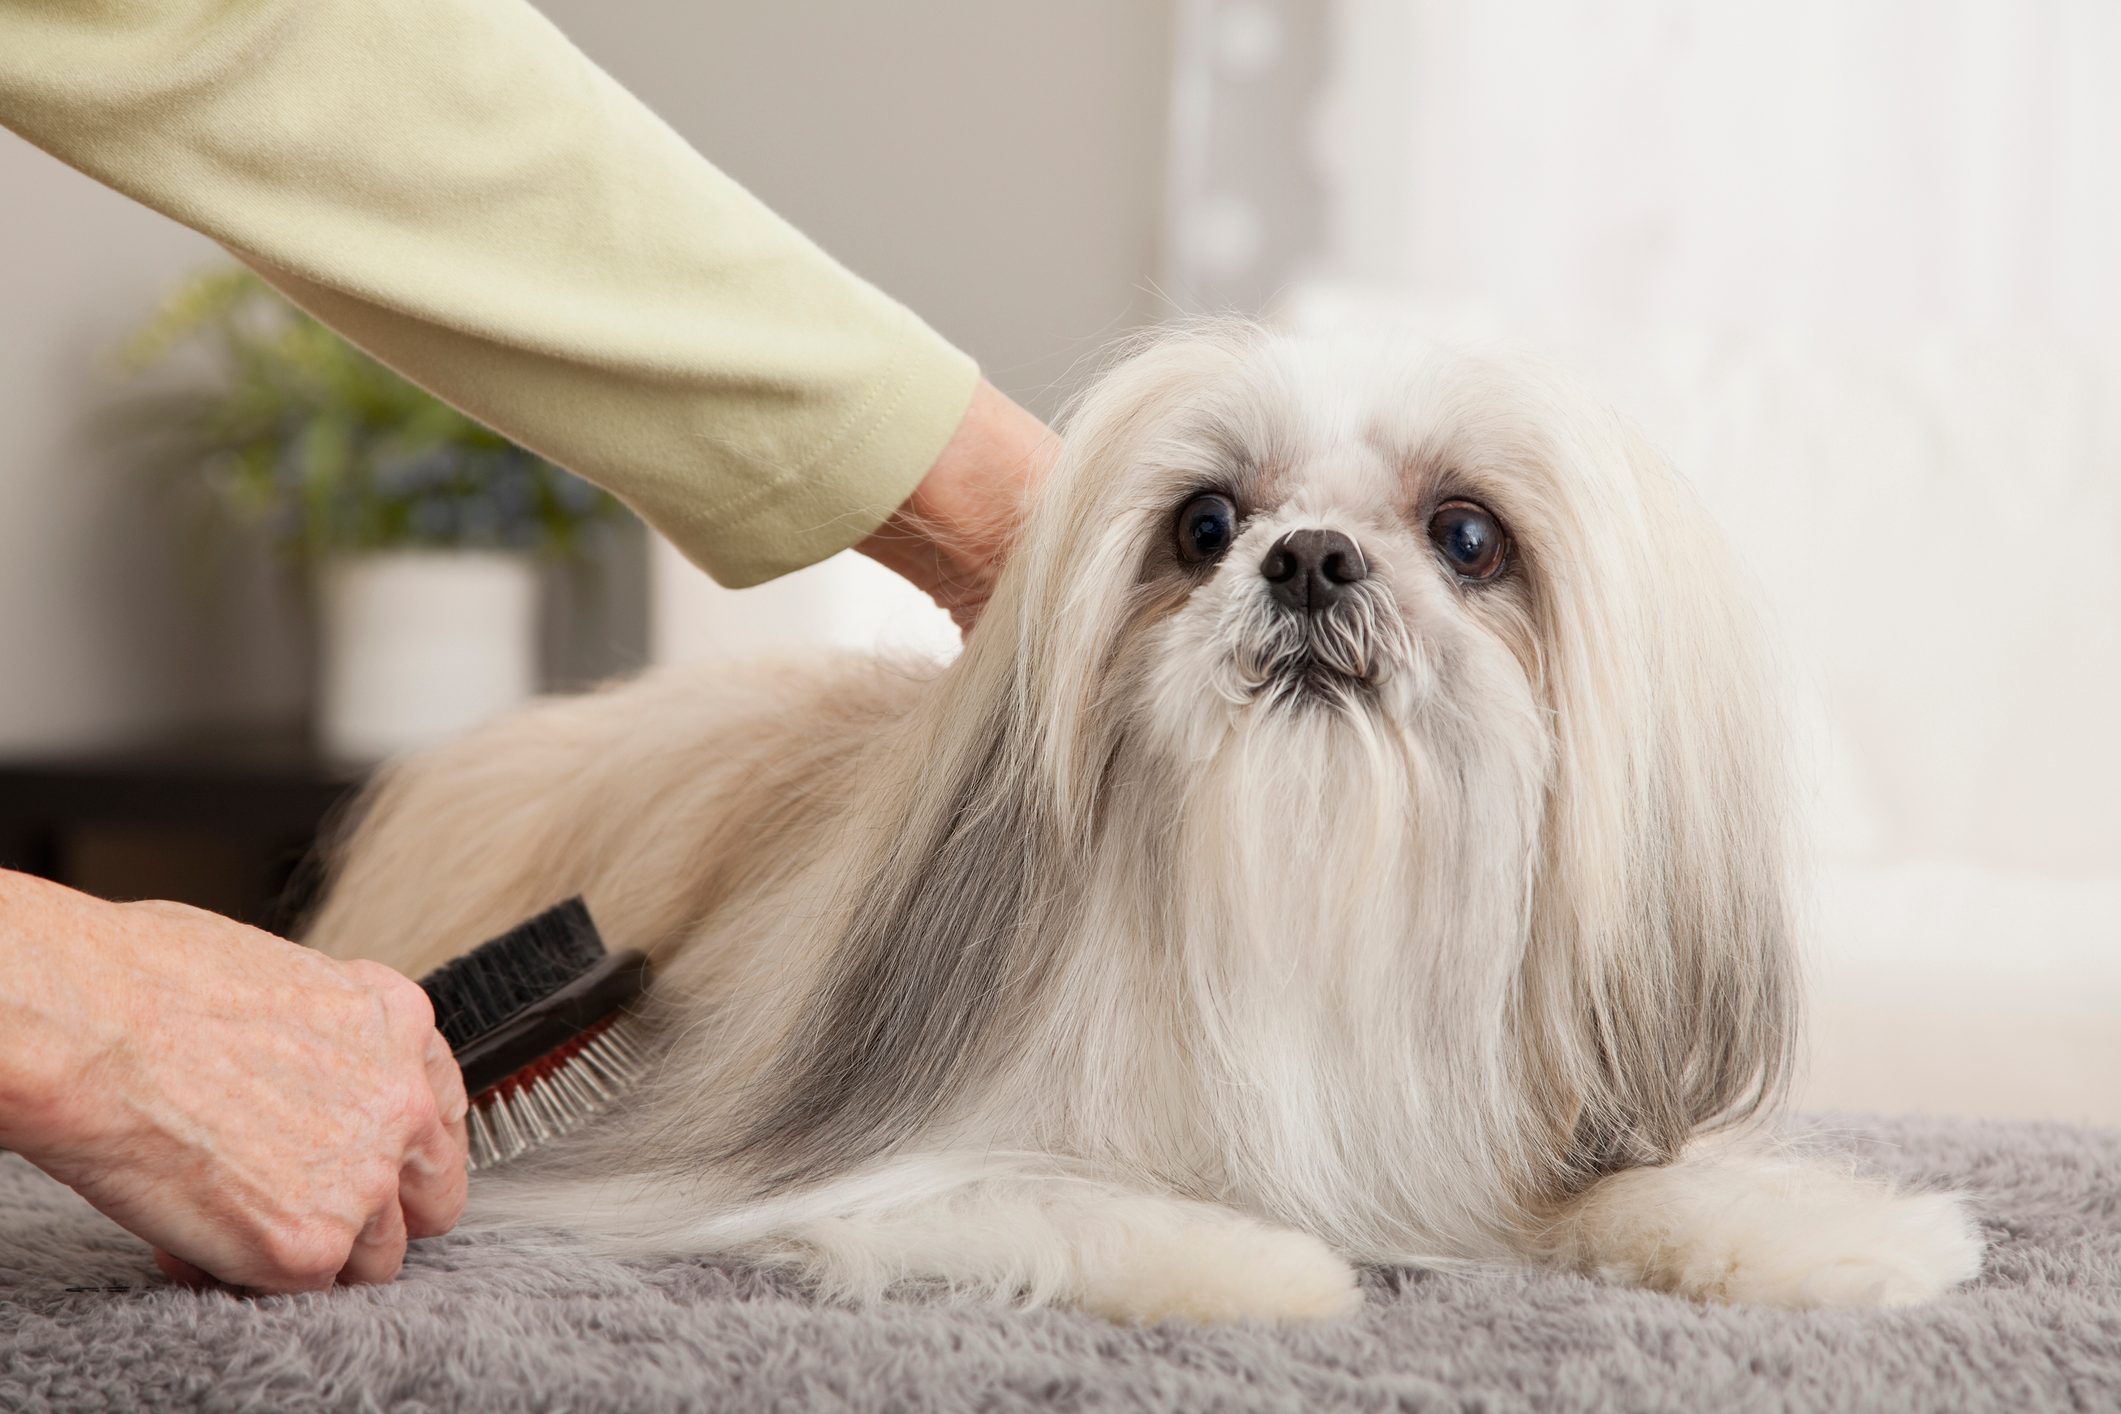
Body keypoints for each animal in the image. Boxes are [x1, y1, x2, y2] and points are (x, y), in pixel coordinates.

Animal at [307, 326, 1976, 1322]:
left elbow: (1650, 1184)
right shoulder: (863, 1155)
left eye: (1467, 534)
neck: (1293, 906)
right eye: (1204, 523)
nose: (1309, 558)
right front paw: (1259, 1261)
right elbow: (1050, 1196)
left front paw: (1835, 1238)